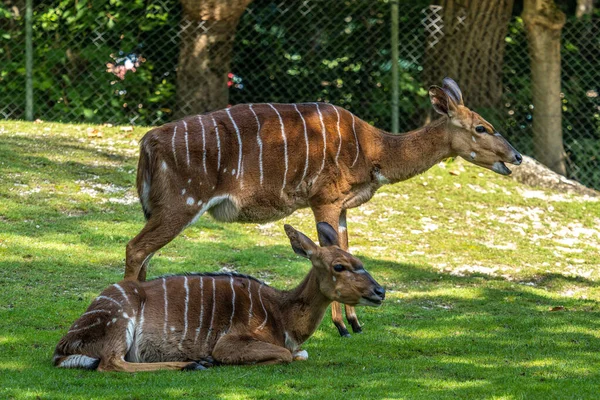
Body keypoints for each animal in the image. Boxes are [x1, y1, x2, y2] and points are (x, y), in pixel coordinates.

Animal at [55, 223, 384, 374]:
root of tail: (64, 345)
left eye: (358, 260)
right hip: (120, 321)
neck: (282, 315)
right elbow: (287, 355)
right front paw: (213, 359)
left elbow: (300, 354)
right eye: (339, 266)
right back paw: (194, 363)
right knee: (110, 363)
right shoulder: (229, 341)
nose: (380, 291)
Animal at [126, 77, 520, 338]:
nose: (515, 157)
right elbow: (332, 250)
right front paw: (342, 326)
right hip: (181, 203)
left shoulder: (343, 206)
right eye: (482, 128)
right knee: (136, 248)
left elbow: (344, 245)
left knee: (146, 254)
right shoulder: (325, 199)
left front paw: (356, 322)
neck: (374, 150)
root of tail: (149, 141)